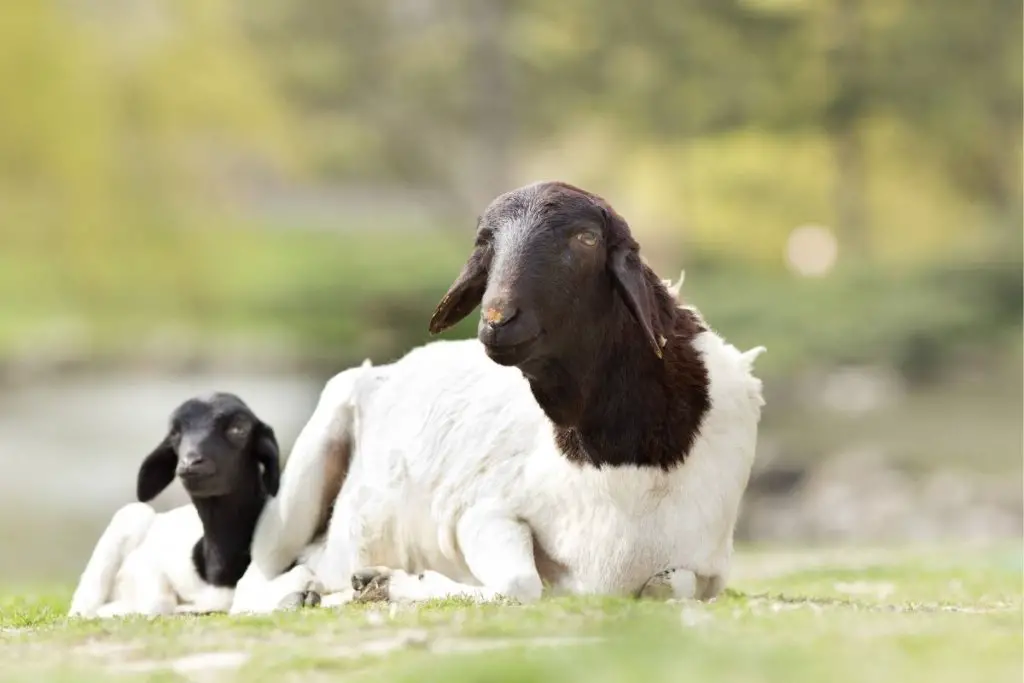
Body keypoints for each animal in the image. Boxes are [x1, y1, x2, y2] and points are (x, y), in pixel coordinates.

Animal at [67, 389, 319, 618]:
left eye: (239, 428)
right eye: (175, 432)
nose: (190, 463)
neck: (218, 568)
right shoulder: (144, 565)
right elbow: (158, 601)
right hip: (130, 516)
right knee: (82, 609)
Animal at [228, 181, 765, 614]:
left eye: (586, 238)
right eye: (486, 243)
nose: (497, 320)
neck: (623, 463)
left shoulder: (707, 568)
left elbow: (671, 585)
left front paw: (377, 583)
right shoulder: (483, 513)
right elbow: (520, 584)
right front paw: (386, 582)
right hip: (299, 485)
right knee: (252, 579)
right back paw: (297, 592)